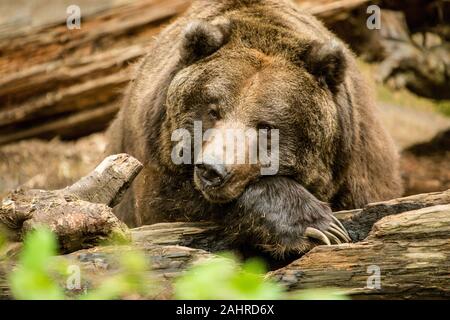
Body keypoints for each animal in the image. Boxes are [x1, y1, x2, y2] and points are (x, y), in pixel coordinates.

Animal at [107, 0, 402, 255]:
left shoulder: (358, 169)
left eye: (266, 126)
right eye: (213, 110)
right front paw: (318, 226)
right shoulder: (155, 157)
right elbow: (172, 209)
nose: (212, 170)